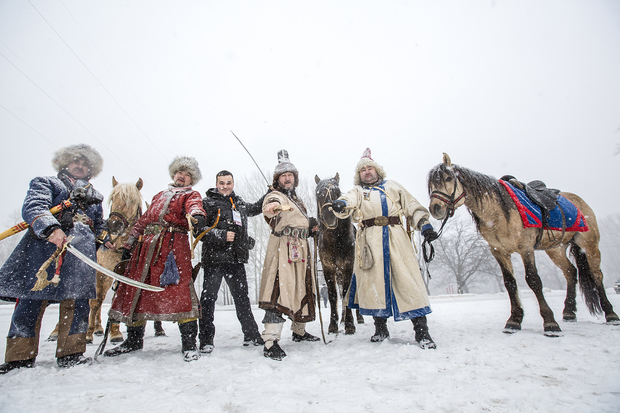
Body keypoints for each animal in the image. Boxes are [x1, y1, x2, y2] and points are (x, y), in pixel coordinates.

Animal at [314, 172, 364, 334]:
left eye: (337, 192)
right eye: (318, 194)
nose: (330, 216)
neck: (336, 242)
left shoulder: (348, 266)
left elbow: (348, 293)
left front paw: (350, 324)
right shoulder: (328, 268)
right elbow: (333, 296)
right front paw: (333, 324)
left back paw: (358, 317)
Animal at [428, 153, 616, 336]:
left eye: (448, 178)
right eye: (430, 185)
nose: (435, 208)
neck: (496, 212)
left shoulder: (526, 248)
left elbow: (533, 280)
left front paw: (550, 323)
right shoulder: (498, 251)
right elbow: (509, 283)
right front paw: (514, 320)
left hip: (589, 245)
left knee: (597, 275)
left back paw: (611, 314)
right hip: (555, 249)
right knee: (570, 272)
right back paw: (569, 312)